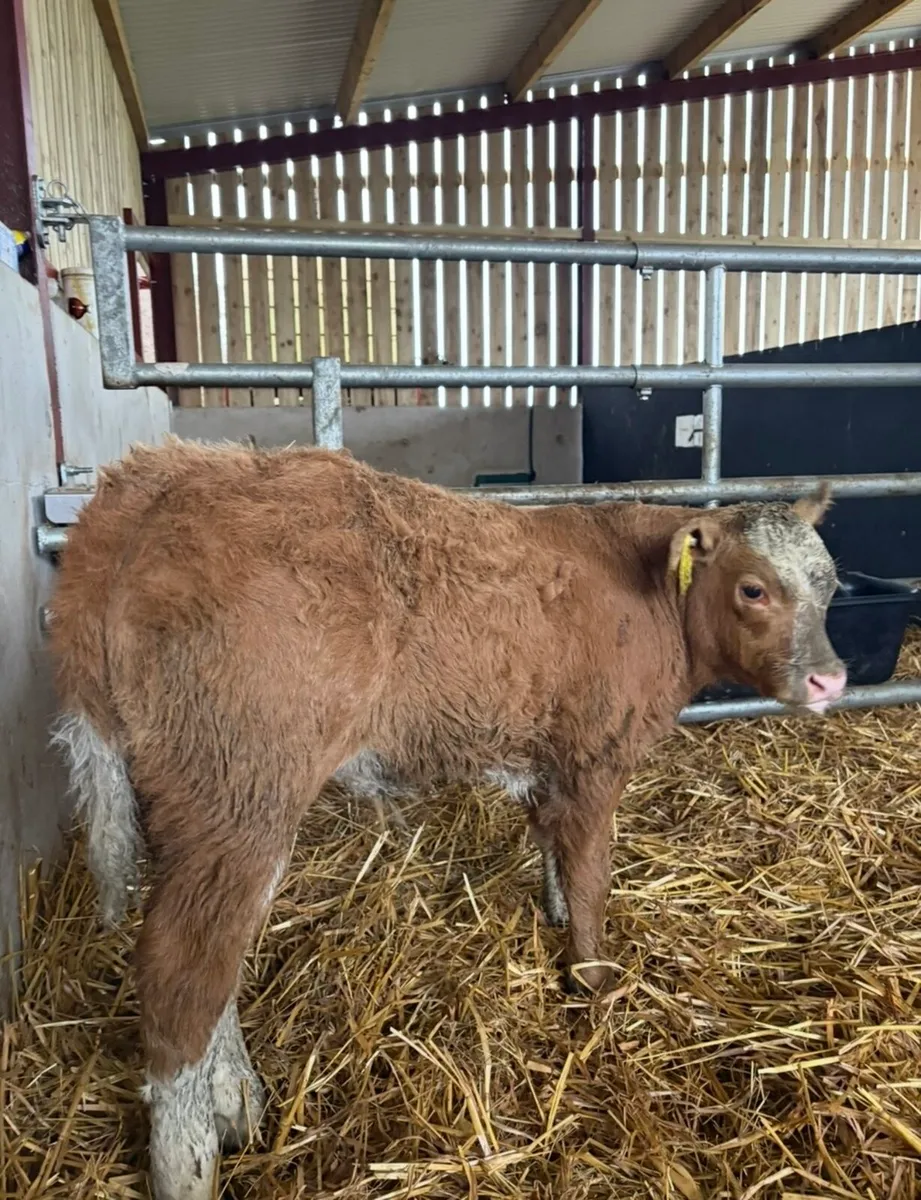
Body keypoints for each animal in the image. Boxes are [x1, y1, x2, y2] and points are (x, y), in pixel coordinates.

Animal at [49, 438, 845, 1200]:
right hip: (242, 786)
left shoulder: (546, 758)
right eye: (753, 588)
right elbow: (591, 875)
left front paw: (556, 915)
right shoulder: (596, 757)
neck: (651, 596)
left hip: (203, 804)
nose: (829, 678)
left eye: (830, 582)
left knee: (211, 956)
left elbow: (553, 847)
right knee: (182, 975)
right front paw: (591, 980)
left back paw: (233, 1099)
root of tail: (157, 473)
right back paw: (190, 1162)